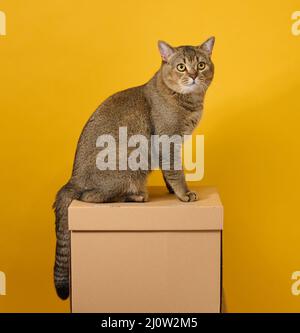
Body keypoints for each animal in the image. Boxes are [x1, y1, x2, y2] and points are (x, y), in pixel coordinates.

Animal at [52, 37, 214, 300]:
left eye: (201, 64)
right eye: (181, 67)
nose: (193, 76)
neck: (186, 101)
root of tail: (72, 179)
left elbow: (169, 172)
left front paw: (172, 191)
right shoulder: (168, 140)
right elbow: (175, 170)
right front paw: (183, 194)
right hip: (126, 164)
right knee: (90, 196)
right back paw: (135, 196)